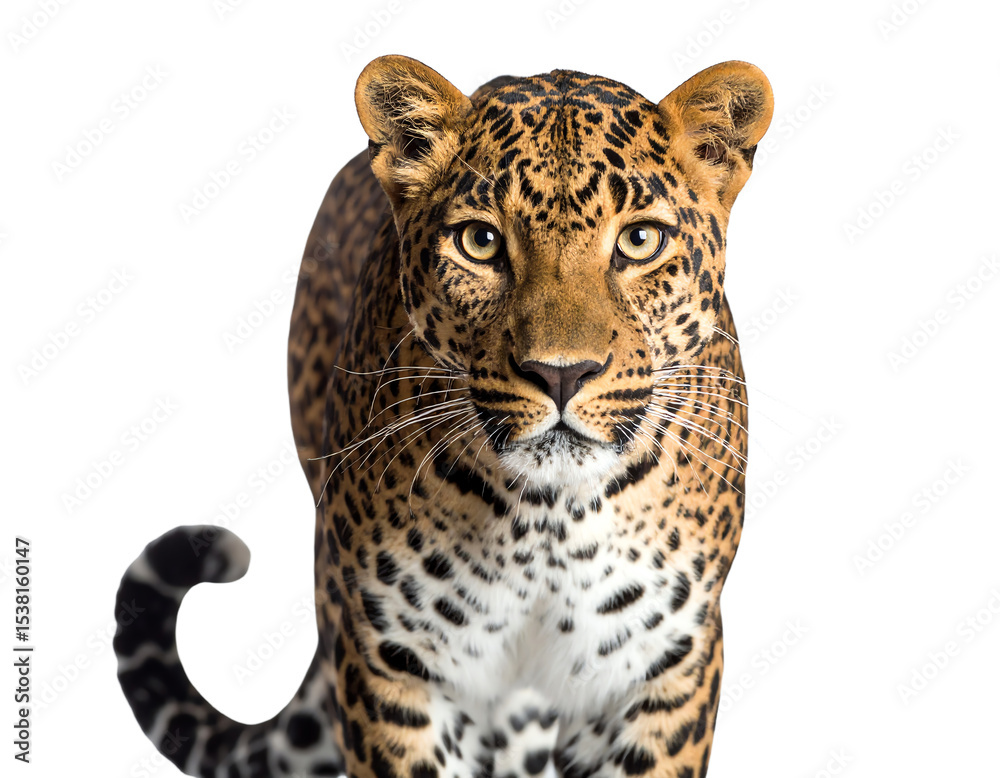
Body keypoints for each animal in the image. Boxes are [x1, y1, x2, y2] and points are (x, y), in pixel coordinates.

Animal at [114, 55, 773, 778]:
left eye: (641, 240)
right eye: (481, 241)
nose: (561, 373)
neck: (549, 521)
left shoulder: (661, 668)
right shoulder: (394, 662)